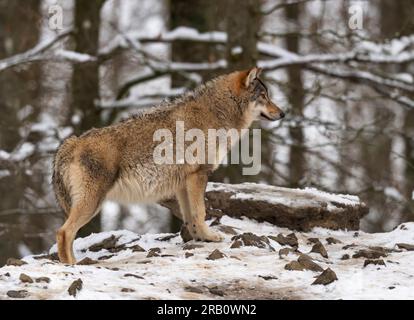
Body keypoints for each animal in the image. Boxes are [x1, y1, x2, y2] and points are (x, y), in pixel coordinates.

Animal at [51, 67, 284, 262]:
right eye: (264, 96)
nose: (283, 113)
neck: (218, 113)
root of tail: (71, 143)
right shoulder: (199, 175)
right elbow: (201, 212)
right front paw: (210, 236)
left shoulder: (183, 183)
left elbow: (190, 216)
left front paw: (199, 238)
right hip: (92, 203)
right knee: (63, 233)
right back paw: (72, 266)